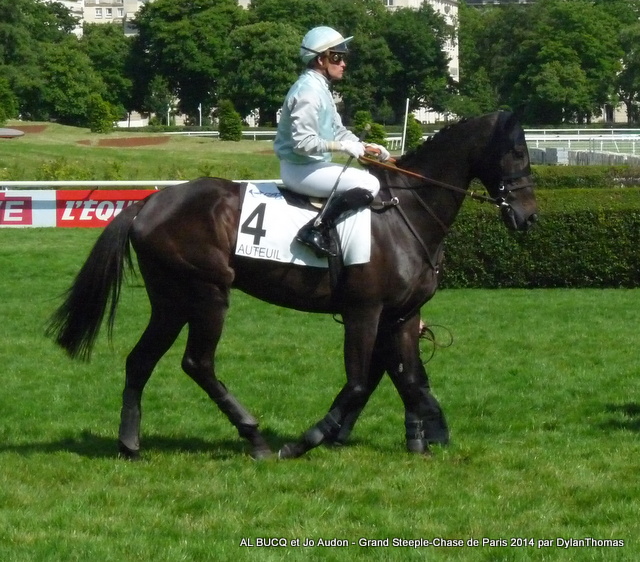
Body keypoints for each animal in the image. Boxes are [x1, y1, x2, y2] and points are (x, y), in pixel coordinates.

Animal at [50, 110, 536, 460]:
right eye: (516, 152)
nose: (528, 217)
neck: (406, 213)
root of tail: (148, 203)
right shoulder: (365, 310)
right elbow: (359, 381)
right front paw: (309, 439)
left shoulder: (402, 314)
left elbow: (410, 377)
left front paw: (425, 435)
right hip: (207, 294)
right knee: (197, 363)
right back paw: (255, 438)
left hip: (171, 301)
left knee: (140, 361)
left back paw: (130, 444)